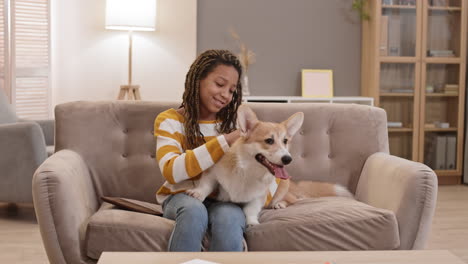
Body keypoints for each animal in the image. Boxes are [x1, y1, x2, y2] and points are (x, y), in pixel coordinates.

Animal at [186, 104, 352, 225]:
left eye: (285, 141)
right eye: (269, 141)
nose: (288, 159)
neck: (248, 170)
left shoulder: (259, 196)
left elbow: (251, 210)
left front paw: (252, 222)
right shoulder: (213, 172)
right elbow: (206, 184)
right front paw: (197, 193)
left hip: (284, 186)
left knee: (293, 199)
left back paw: (279, 204)